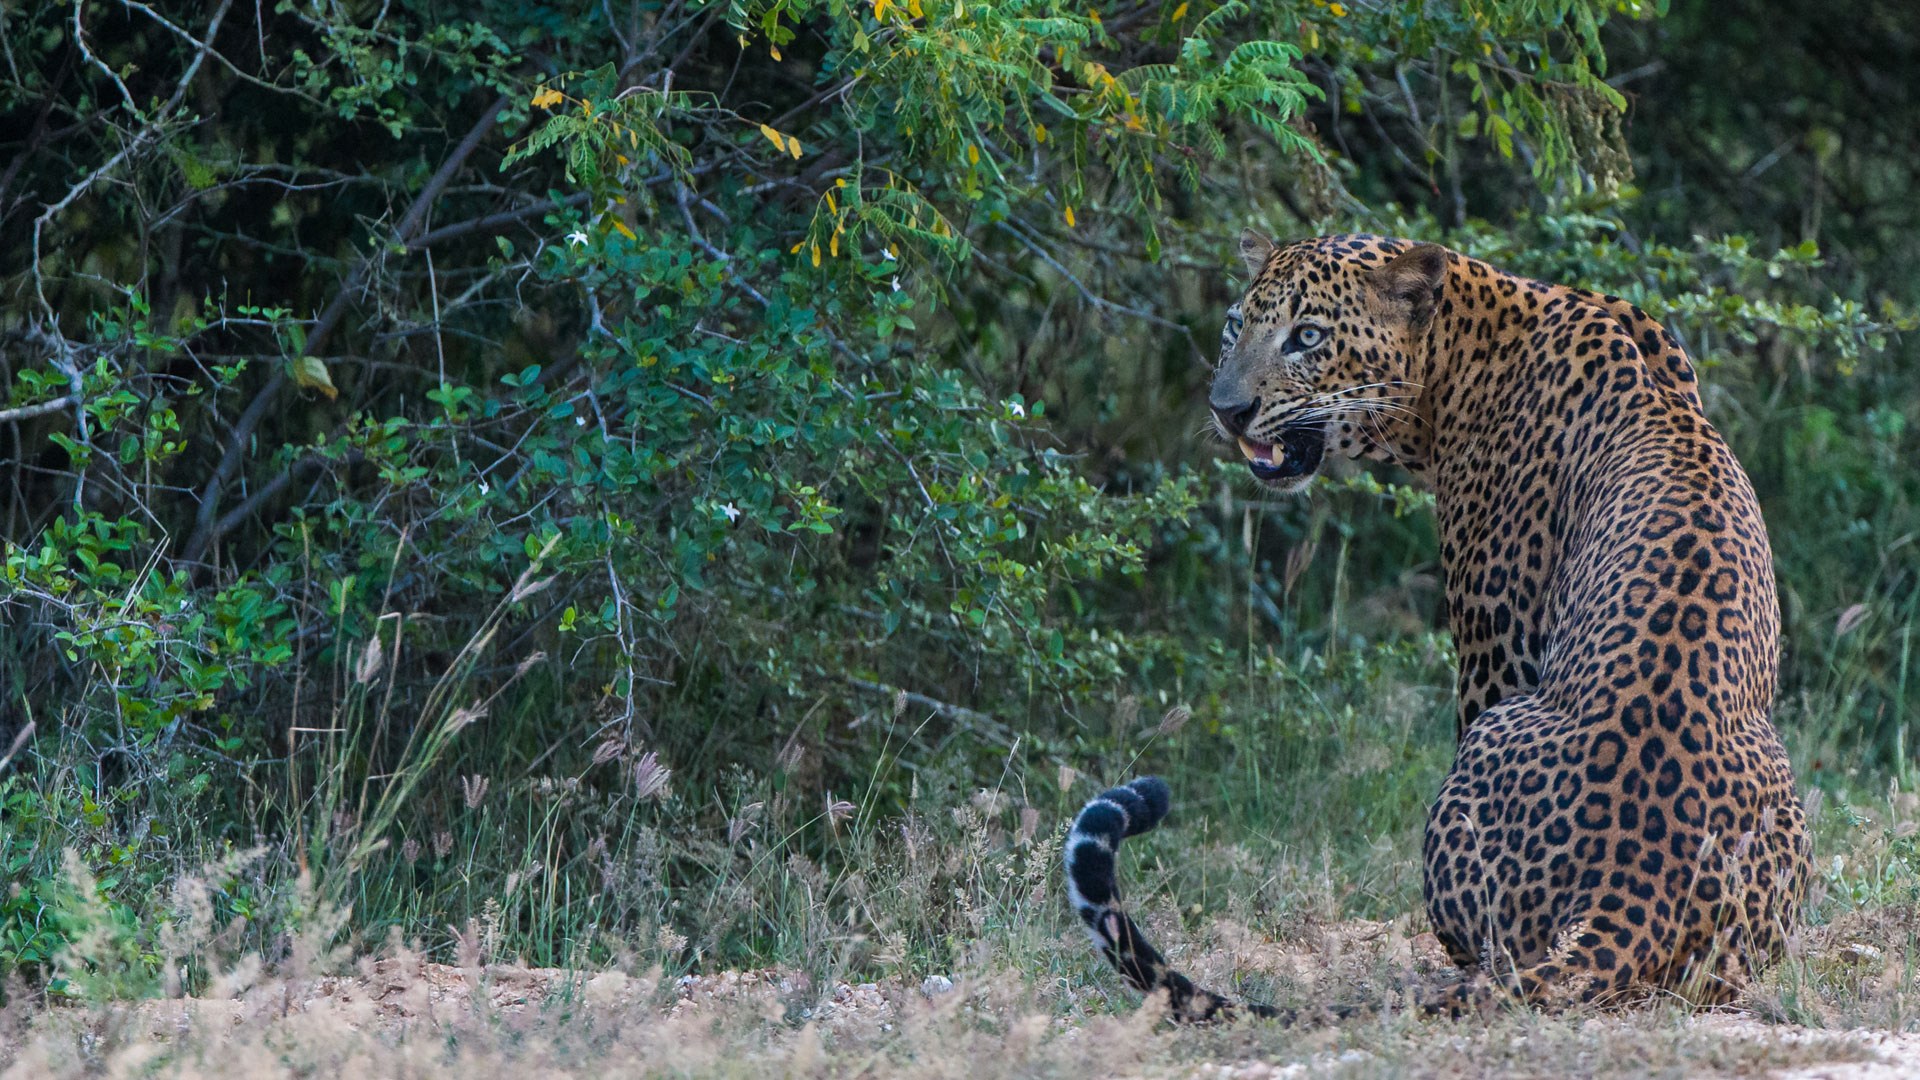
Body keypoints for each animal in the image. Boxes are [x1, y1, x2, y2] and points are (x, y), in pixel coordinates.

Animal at [1067, 231, 1812, 1014]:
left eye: (1307, 337)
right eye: (1236, 325)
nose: (1228, 409)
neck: (1460, 352)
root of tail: (1628, 897)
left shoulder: (1498, 642)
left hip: (1496, 734)